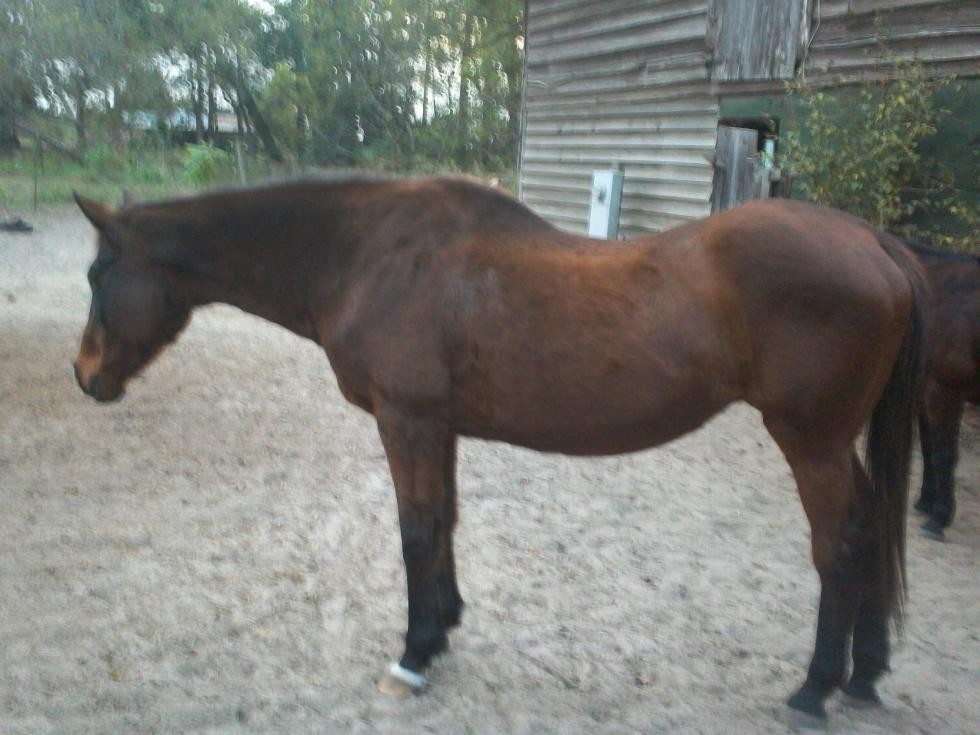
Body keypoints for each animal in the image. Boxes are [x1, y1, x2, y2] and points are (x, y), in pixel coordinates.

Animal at [71, 175, 926, 724]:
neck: (370, 255)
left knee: (841, 542)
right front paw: (445, 623)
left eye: (97, 273)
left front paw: (413, 655)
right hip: (832, 442)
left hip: (810, 441)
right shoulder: (438, 426)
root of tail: (875, 241)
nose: (84, 375)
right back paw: (866, 673)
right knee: (874, 524)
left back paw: (814, 688)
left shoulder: (407, 421)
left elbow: (415, 529)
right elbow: (445, 520)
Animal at [903, 239, 980, 540]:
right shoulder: (927, 391)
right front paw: (926, 502)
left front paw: (939, 519)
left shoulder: (944, 393)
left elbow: (944, 454)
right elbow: (929, 449)